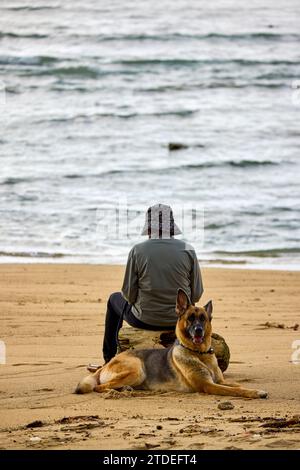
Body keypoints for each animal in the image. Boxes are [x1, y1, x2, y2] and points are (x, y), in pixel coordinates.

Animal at [76, 288, 268, 398]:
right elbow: (236, 390)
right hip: (137, 369)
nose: (198, 330)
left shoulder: (219, 381)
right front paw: (255, 392)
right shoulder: (209, 386)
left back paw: (127, 390)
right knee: (99, 387)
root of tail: (107, 364)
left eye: (203, 319)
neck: (200, 354)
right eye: (190, 318)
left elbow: (237, 385)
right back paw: (119, 391)